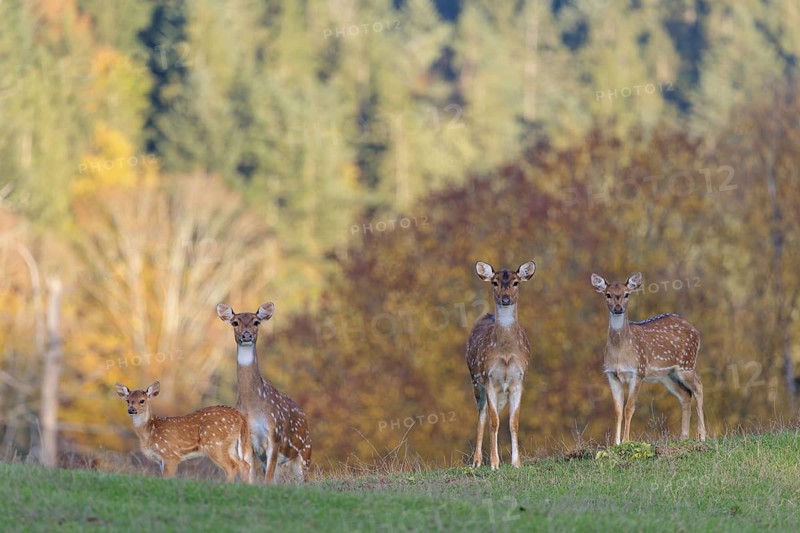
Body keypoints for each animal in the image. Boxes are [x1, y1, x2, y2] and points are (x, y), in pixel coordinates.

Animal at [115, 381, 253, 483]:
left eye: (142, 400)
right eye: (128, 400)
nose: (131, 410)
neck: (150, 432)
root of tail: (240, 416)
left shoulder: (170, 454)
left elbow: (167, 477)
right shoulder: (161, 459)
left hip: (215, 443)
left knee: (231, 467)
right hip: (230, 444)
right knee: (244, 464)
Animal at [217, 302, 311, 483]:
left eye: (256, 322)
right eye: (235, 323)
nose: (246, 335)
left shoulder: (275, 434)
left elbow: (267, 478)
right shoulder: (247, 441)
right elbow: (251, 478)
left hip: (305, 452)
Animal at [466, 260, 536, 469]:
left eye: (516, 282)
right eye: (494, 282)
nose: (505, 299)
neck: (505, 353)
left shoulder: (519, 380)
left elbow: (514, 421)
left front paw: (516, 462)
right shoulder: (488, 377)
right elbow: (494, 421)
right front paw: (494, 463)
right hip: (475, 381)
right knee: (482, 415)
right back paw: (477, 460)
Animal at [590, 272, 706, 445]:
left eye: (627, 294)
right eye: (608, 294)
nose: (618, 308)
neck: (619, 353)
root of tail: (696, 330)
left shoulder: (637, 371)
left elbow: (629, 408)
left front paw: (626, 441)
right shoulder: (611, 374)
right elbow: (617, 410)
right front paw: (615, 444)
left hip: (687, 364)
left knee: (698, 387)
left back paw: (702, 436)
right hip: (667, 375)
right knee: (685, 395)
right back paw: (683, 437)